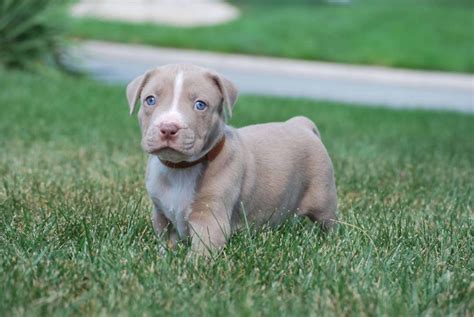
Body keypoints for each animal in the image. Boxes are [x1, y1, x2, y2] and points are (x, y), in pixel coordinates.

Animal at [126, 63, 336, 254]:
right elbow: (165, 244)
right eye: (150, 100)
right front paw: (163, 258)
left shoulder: (210, 220)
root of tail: (301, 123)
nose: (168, 128)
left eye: (200, 105)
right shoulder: (160, 214)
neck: (180, 169)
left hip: (323, 198)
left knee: (329, 223)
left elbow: (201, 253)